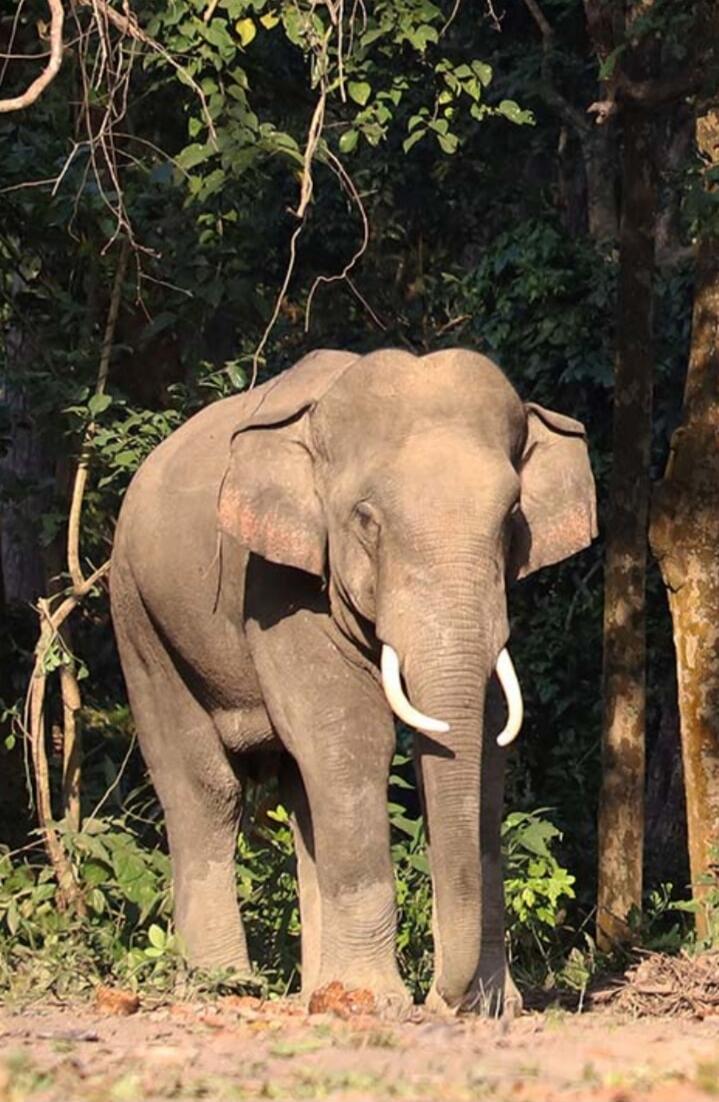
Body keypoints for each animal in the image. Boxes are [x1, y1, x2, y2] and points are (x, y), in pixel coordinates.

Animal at [110, 347, 596, 1016]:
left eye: (512, 517)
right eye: (366, 519)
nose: (446, 1001)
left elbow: (489, 743)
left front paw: (491, 1007)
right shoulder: (276, 582)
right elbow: (350, 736)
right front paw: (374, 1004)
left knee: (299, 791)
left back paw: (315, 992)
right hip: (140, 616)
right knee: (205, 787)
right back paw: (227, 986)